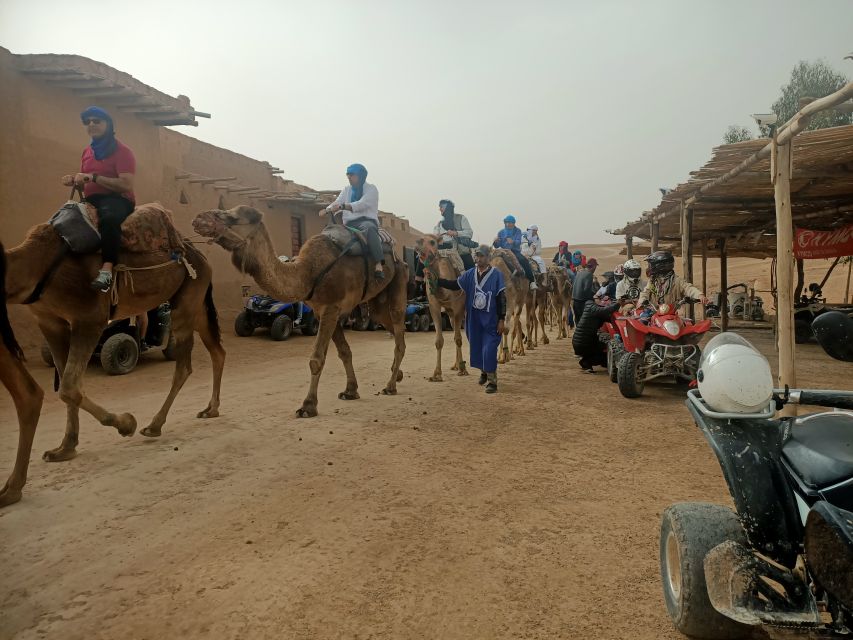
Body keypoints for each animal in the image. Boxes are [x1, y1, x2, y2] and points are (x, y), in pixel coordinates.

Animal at [4, 208, 223, 468]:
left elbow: (68, 387)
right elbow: (67, 384)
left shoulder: (89, 319)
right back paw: (210, 410)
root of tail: (201, 255)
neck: (37, 265)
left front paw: (127, 424)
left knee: (184, 366)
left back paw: (154, 425)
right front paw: (64, 449)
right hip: (195, 304)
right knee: (217, 351)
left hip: (187, 301)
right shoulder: (49, 322)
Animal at [191, 204, 408, 416]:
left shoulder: (331, 307)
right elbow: (344, 352)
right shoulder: (324, 311)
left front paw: (308, 406)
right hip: (377, 302)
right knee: (390, 326)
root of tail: (397, 254)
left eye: (233, 217)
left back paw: (390, 386)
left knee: (398, 332)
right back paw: (397, 374)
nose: (199, 218)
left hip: (399, 279)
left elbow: (316, 359)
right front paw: (350, 391)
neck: (308, 273)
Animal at [412, 238, 466, 382]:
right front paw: (436, 374)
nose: (418, 243)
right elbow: (439, 341)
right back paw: (456, 365)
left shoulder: (459, 308)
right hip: (451, 314)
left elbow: (459, 338)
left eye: (432, 242)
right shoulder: (434, 306)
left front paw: (463, 370)